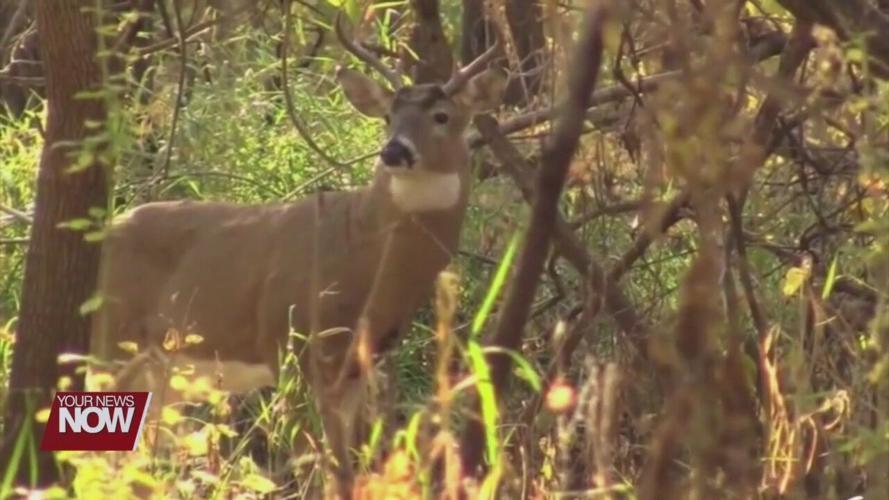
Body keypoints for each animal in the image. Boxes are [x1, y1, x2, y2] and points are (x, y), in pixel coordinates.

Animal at [88, 16, 505, 494]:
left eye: (442, 116)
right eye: (388, 116)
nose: (394, 150)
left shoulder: (354, 371)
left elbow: (344, 472)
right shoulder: (289, 344)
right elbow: (317, 466)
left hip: (167, 373)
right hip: (112, 341)